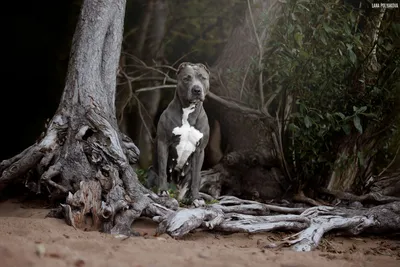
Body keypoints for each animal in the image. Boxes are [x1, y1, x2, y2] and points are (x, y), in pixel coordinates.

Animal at [150, 62, 211, 207]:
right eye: (186, 78)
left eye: (203, 78)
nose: (196, 89)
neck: (188, 112)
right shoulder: (163, 142)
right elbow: (163, 170)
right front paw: (163, 191)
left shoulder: (200, 150)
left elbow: (195, 178)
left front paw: (195, 198)